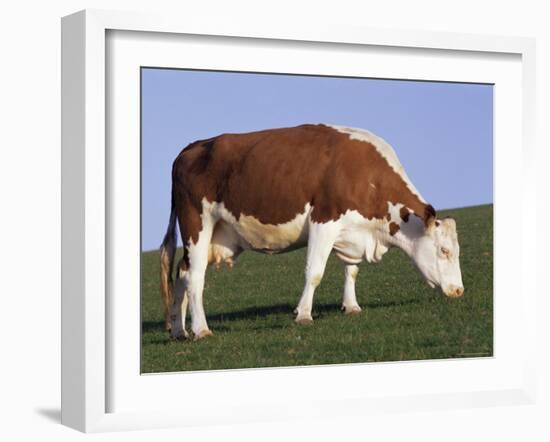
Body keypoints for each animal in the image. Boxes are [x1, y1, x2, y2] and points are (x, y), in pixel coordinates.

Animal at [160, 122, 466, 340]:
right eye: (444, 250)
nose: (459, 291)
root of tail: (192, 147)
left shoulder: (351, 231)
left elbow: (351, 270)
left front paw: (351, 306)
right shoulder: (324, 221)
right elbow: (315, 272)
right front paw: (303, 314)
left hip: (216, 235)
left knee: (182, 273)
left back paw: (179, 330)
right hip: (196, 224)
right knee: (195, 277)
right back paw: (201, 330)